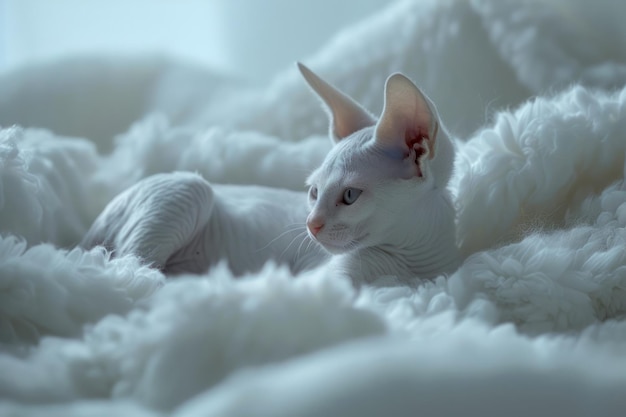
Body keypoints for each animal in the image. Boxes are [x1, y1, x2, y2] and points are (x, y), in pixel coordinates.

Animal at [81, 63, 458, 284]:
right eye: (314, 192)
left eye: (350, 195)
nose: (310, 225)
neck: (413, 262)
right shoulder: (318, 279)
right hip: (188, 190)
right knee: (129, 271)